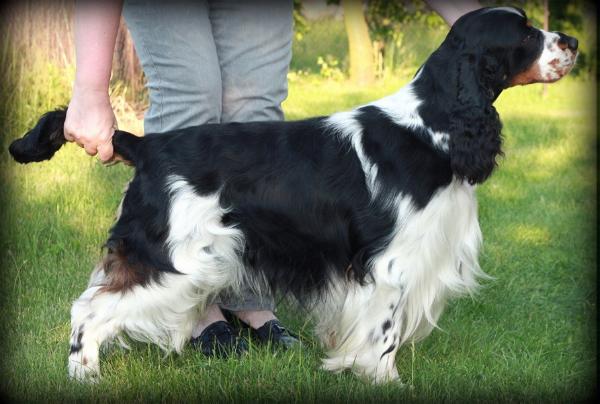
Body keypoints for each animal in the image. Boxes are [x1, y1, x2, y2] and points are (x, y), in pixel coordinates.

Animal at [8, 7, 576, 384]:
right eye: (527, 33)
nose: (571, 40)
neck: (429, 126)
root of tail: (147, 145)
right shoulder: (393, 264)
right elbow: (385, 334)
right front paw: (384, 382)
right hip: (178, 260)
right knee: (88, 308)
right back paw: (84, 376)